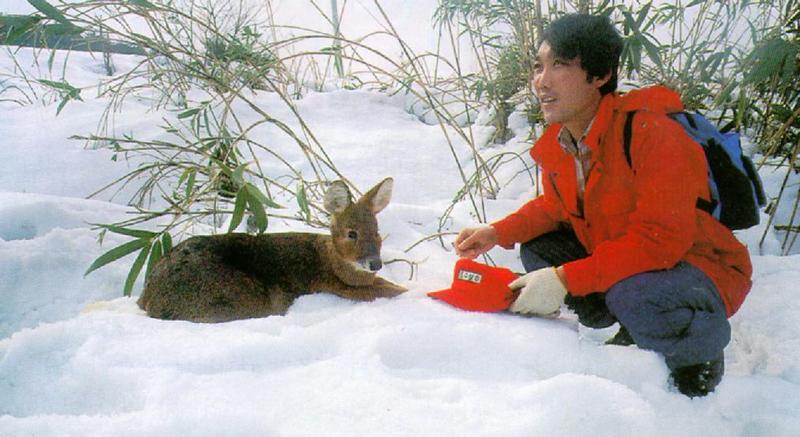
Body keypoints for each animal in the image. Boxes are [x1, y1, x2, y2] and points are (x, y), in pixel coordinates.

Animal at [137, 175, 406, 322]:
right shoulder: (336, 286)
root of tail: (148, 297)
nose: (375, 263)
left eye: (377, 231)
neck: (334, 263)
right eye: (352, 233)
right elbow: (390, 291)